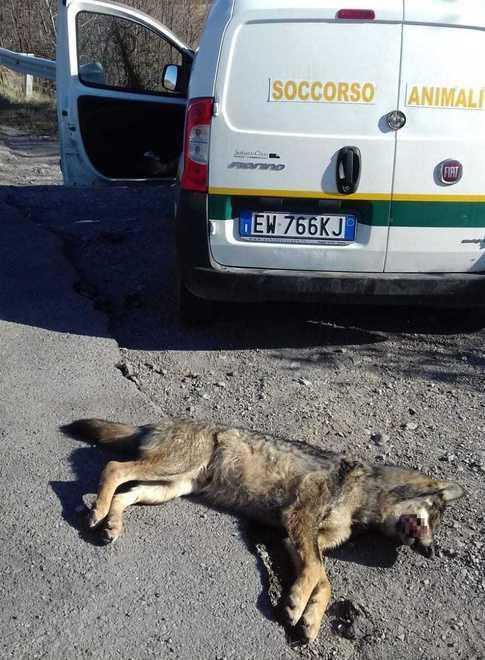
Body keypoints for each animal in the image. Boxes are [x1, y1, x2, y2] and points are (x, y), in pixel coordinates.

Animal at [62, 417, 464, 642]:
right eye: (432, 516)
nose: (431, 551)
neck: (363, 493)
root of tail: (157, 422)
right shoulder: (299, 522)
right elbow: (317, 572)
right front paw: (297, 603)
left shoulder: (293, 538)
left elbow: (325, 583)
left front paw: (310, 618)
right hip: (170, 470)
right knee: (113, 468)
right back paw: (98, 511)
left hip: (169, 486)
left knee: (125, 492)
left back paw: (112, 523)